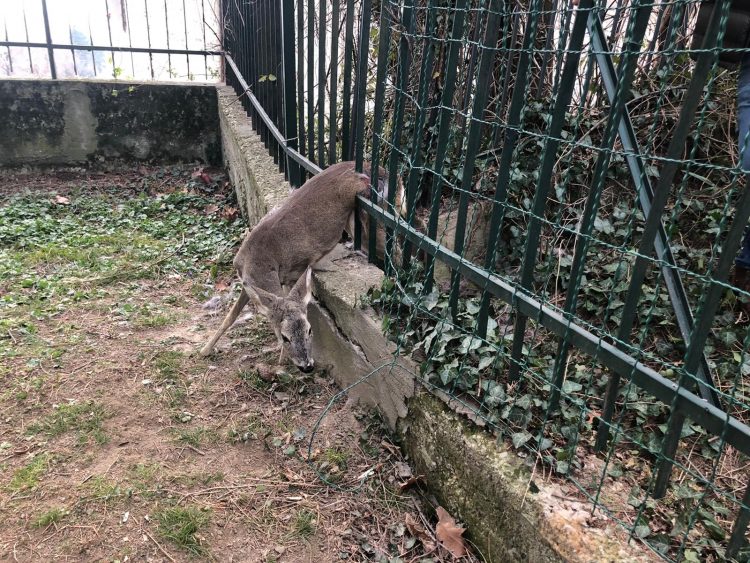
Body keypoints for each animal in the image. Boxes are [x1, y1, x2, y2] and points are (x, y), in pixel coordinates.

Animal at [197, 161, 402, 372]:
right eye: (284, 337)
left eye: (309, 330)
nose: (307, 366)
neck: (257, 258)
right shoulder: (248, 282)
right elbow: (230, 317)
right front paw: (204, 350)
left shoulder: (296, 269)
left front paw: (280, 361)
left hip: (367, 219)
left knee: (396, 253)